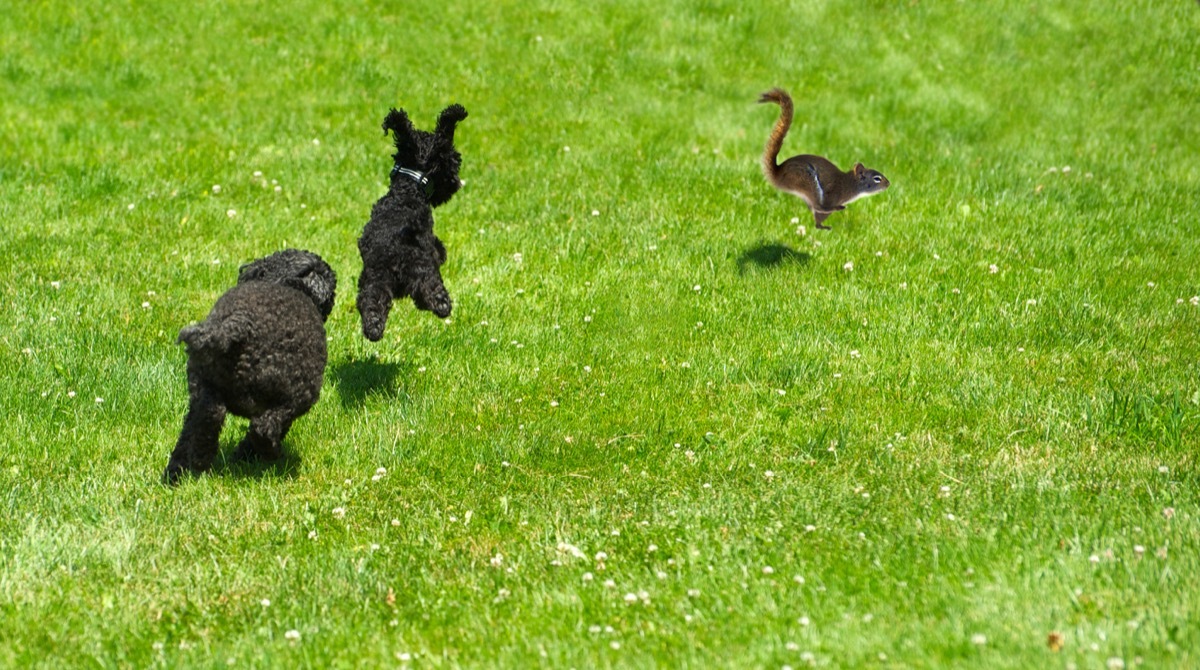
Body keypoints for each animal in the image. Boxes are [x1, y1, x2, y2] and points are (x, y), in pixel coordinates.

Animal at [162, 249, 336, 485]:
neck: (291, 284)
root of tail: (239, 325)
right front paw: (246, 454)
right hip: (294, 395)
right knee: (263, 429)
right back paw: (270, 454)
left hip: (203, 388)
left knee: (203, 421)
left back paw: (187, 466)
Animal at [352, 106, 465, 343]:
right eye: (453, 159)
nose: (456, 183)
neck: (407, 190)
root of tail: (392, 256)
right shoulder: (430, 243)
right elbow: (439, 249)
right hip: (422, 270)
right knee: (433, 293)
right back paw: (442, 305)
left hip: (374, 281)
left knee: (371, 303)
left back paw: (373, 329)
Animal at [758, 88, 892, 229]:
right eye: (877, 178)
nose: (888, 183)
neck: (850, 183)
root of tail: (777, 175)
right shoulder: (831, 195)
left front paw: (821, 225)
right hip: (808, 182)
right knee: (818, 205)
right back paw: (836, 208)